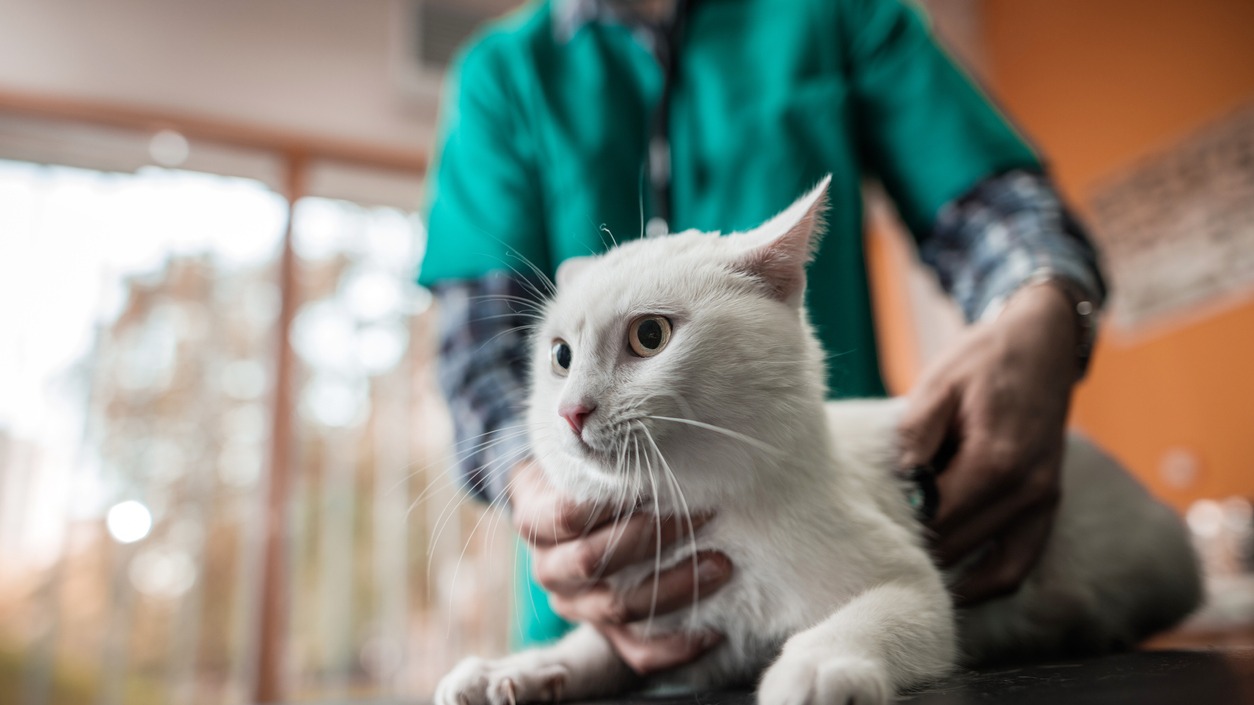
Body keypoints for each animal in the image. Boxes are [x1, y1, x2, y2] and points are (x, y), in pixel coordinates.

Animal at [433, 175, 1203, 702]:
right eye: (560, 356)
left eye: (649, 336)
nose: (571, 411)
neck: (709, 511)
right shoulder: (669, 635)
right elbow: (597, 649)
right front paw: (511, 670)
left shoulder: (913, 588)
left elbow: (863, 620)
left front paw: (811, 669)